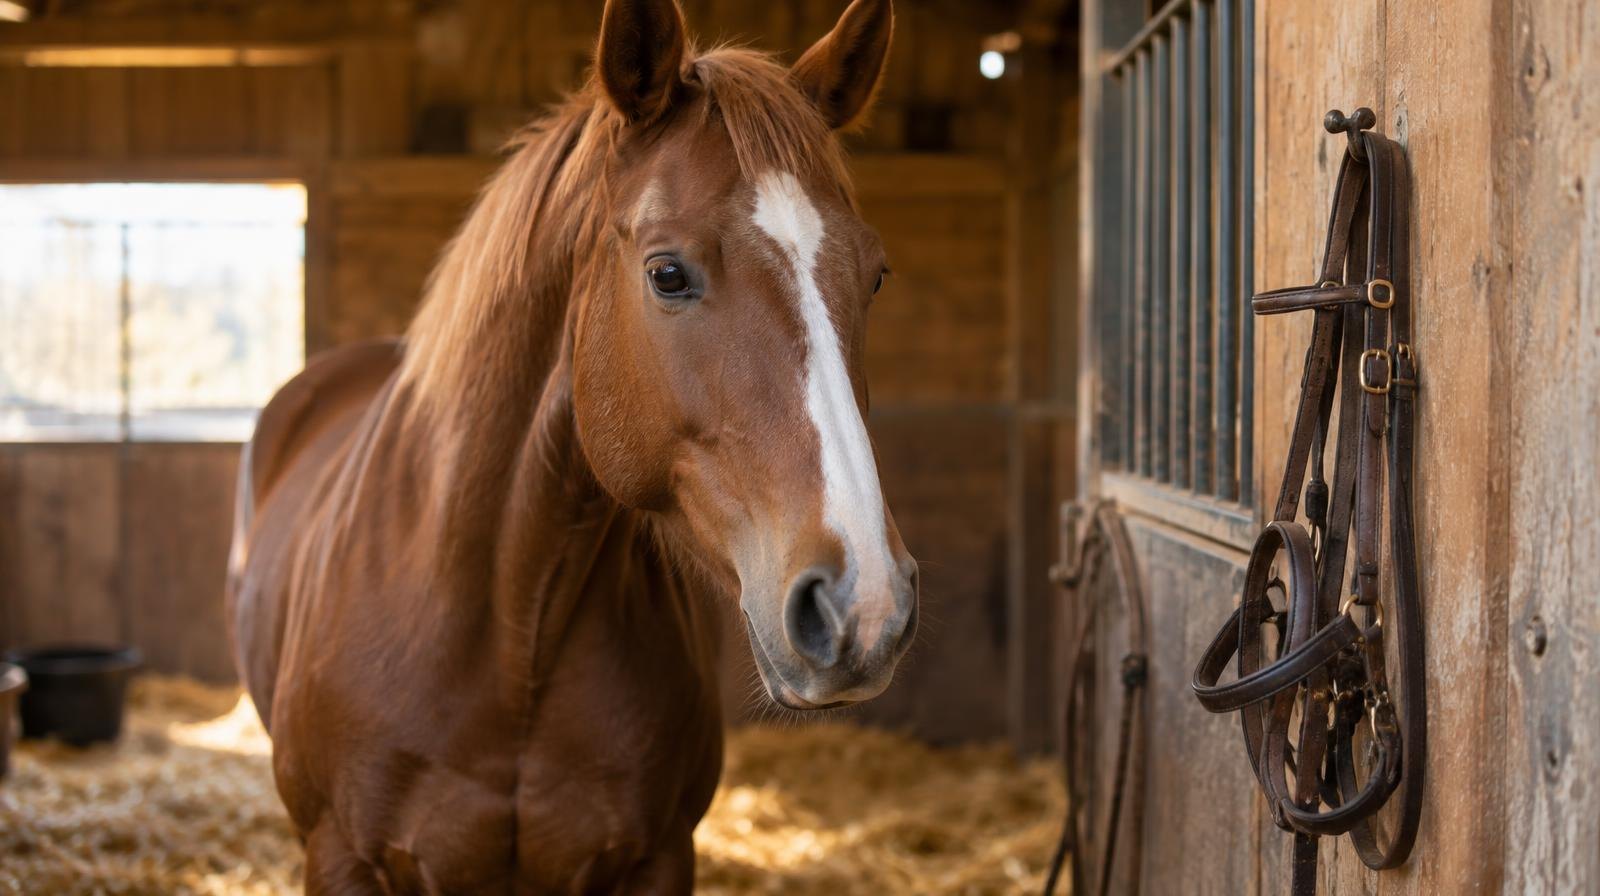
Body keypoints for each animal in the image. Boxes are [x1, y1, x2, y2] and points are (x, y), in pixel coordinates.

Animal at [225, 0, 916, 891]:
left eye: (875, 275)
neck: (513, 630)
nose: (864, 607)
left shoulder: (660, 857)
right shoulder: (339, 854)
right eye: (666, 273)